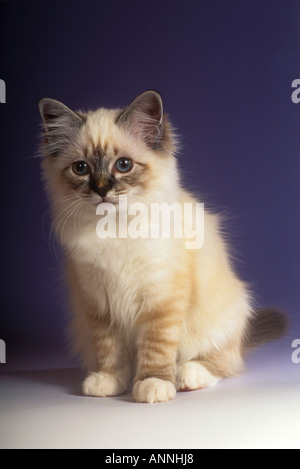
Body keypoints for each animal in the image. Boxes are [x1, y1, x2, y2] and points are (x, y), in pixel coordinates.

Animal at [38, 90, 288, 402]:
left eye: (123, 165)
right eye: (81, 168)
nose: (101, 189)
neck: (114, 229)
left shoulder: (160, 297)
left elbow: (156, 347)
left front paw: (152, 384)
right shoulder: (99, 301)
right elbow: (109, 349)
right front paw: (109, 381)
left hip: (224, 315)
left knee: (224, 362)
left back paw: (188, 376)